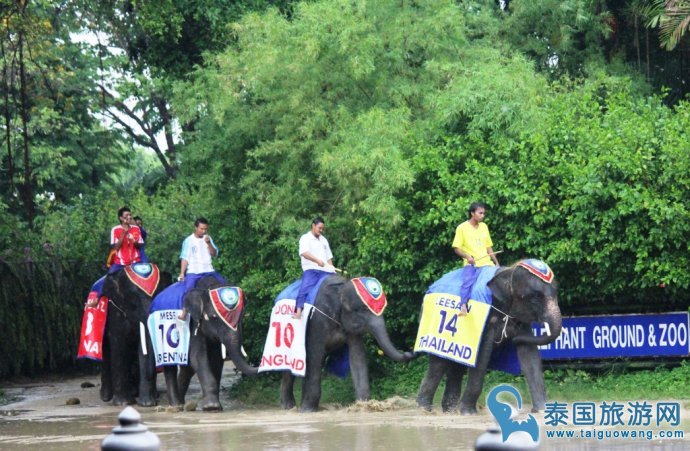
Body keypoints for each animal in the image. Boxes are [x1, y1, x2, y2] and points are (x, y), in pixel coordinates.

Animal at [98, 266, 171, 408]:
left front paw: (147, 403)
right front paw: (123, 403)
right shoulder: (115, 311)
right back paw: (105, 397)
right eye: (133, 301)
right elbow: (119, 345)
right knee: (106, 353)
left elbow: (143, 347)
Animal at [161, 276, 258, 414]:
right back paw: (175, 406)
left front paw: (216, 407)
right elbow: (198, 357)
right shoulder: (193, 322)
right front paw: (212, 407)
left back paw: (182, 404)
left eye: (241, 317)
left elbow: (216, 360)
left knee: (187, 369)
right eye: (214, 318)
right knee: (169, 365)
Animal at [280, 276, 414, 414]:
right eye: (362, 310)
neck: (341, 288)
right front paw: (307, 410)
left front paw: (364, 405)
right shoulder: (317, 321)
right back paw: (289, 406)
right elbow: (315, 356)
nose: (409, 350)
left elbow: (357, 356)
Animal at [414, 264, 560, 414]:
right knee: (438, 363)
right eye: (535, 297)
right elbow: (482, 354)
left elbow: (529, 355)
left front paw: (542, 410)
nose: (513, 339)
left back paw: (450, 410)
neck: (508, 273)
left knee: (456, 365)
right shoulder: (485, 317)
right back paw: (424, 409)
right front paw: (468, 413)